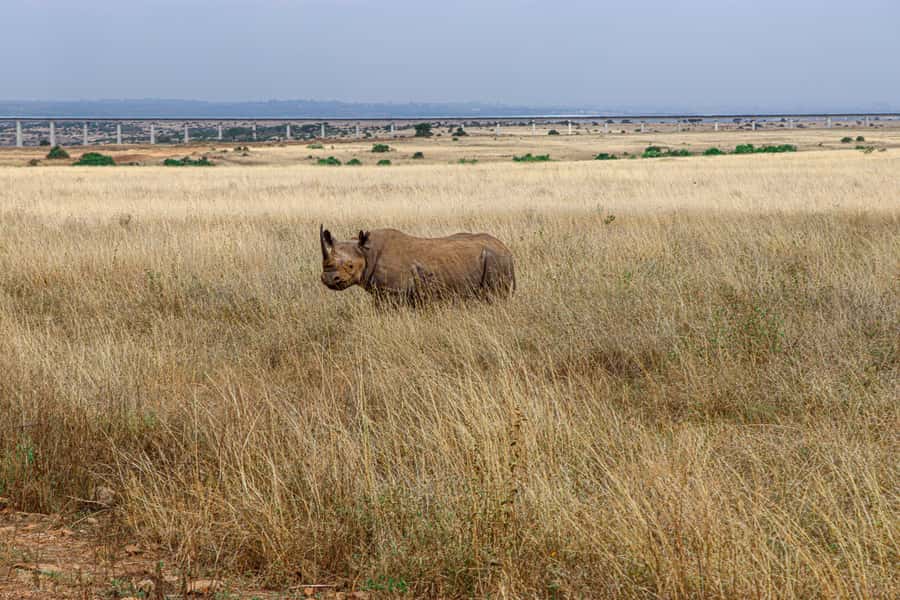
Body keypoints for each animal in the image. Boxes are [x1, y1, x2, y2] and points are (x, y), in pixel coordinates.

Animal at [319, 225, 515, 303]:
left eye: (350, 266)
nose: (328, 278)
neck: (367, 252)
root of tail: (507, 250)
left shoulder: (392, 293)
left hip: (497, 260)